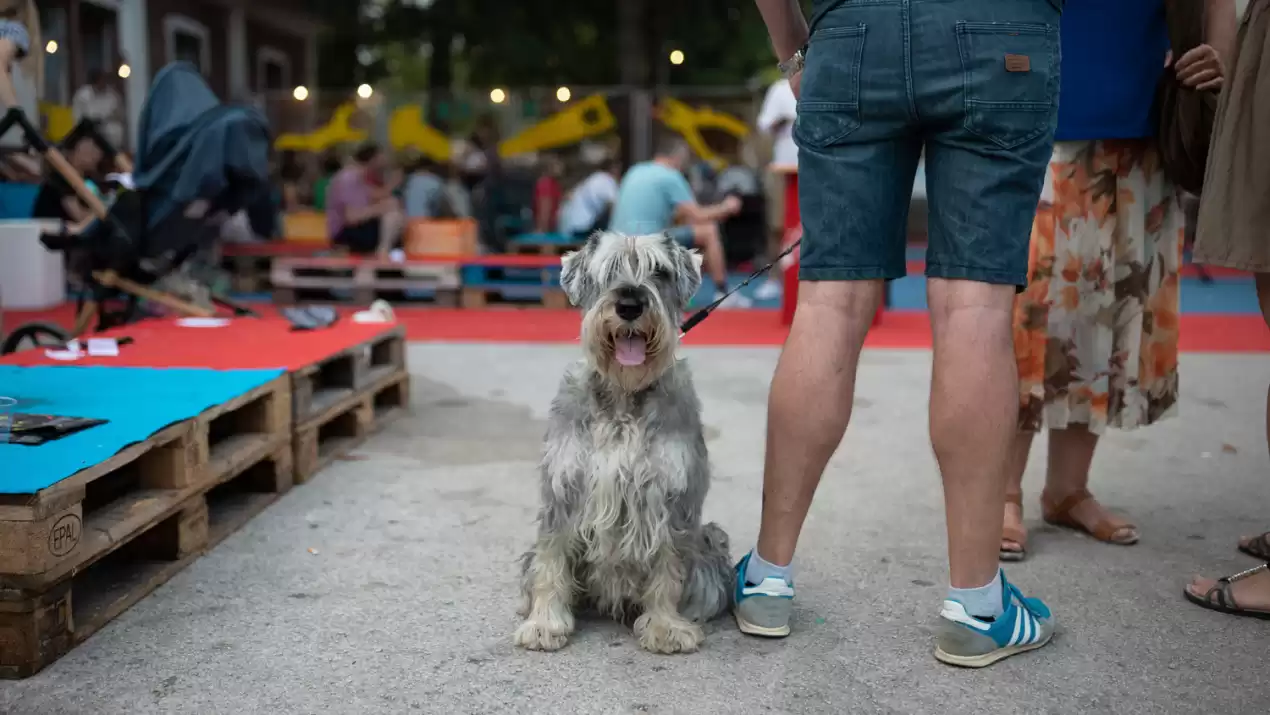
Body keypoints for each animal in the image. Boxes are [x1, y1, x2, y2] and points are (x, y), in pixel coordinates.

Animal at [513, 231, 736, 655]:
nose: (630, 305)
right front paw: (545, 622)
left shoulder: (671, 497)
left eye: (660, 272)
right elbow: (551, 560)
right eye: (609, 270)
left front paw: (666, 626)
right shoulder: (563, 490)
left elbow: (669, 566)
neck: (623, 395)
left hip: (712, 540)